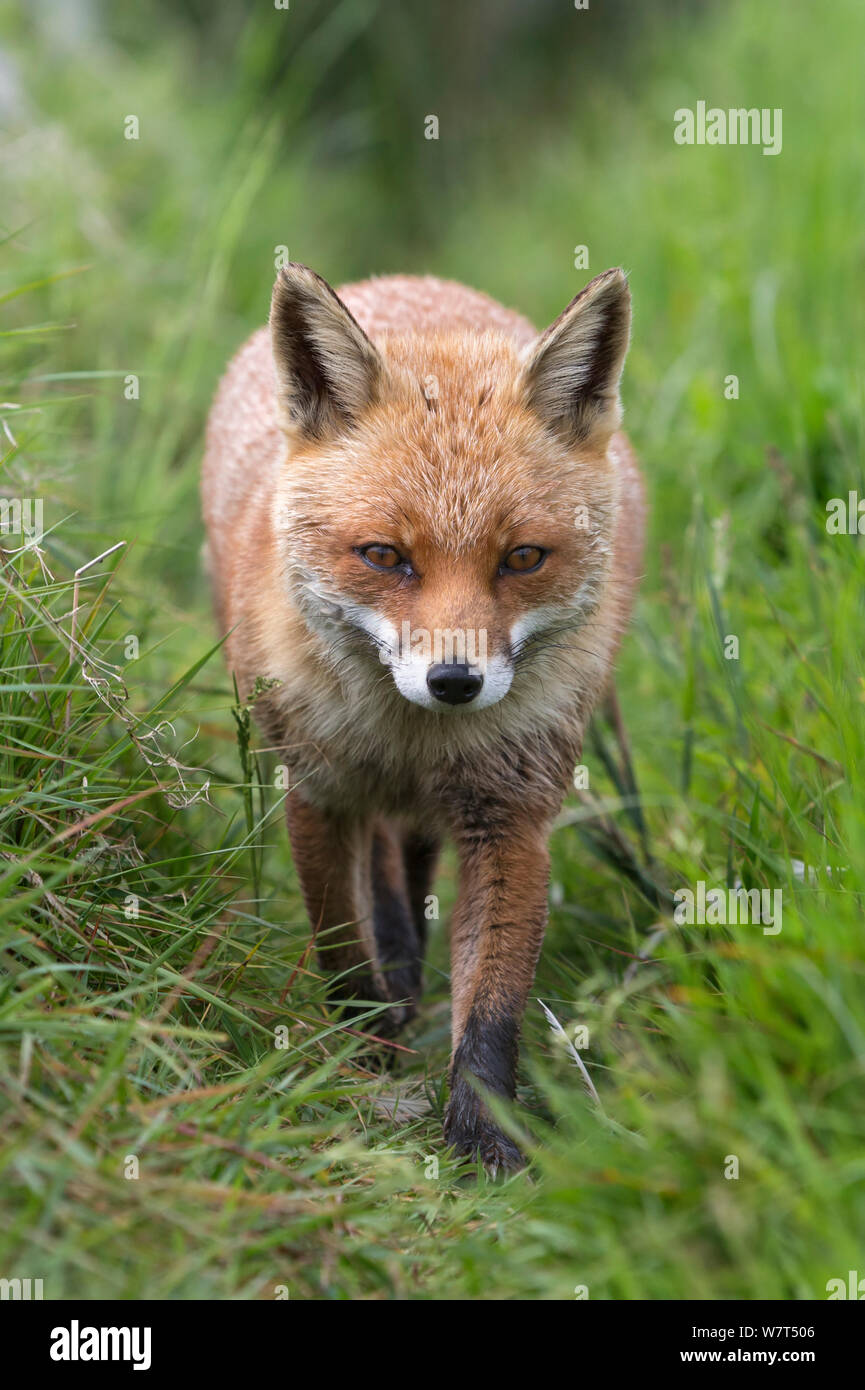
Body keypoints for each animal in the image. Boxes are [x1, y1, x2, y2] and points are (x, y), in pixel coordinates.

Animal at [203, 262, 648, 1173]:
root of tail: (412, 279)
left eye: (522, 558)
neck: (415, 740)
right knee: (385, 868)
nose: (453, 681)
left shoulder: (509, 814)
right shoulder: (318, 791)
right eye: (384, 557)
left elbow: (492, 1005)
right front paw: (361, 1052)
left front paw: (483, 1140)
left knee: (407, 854)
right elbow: (341, 946)